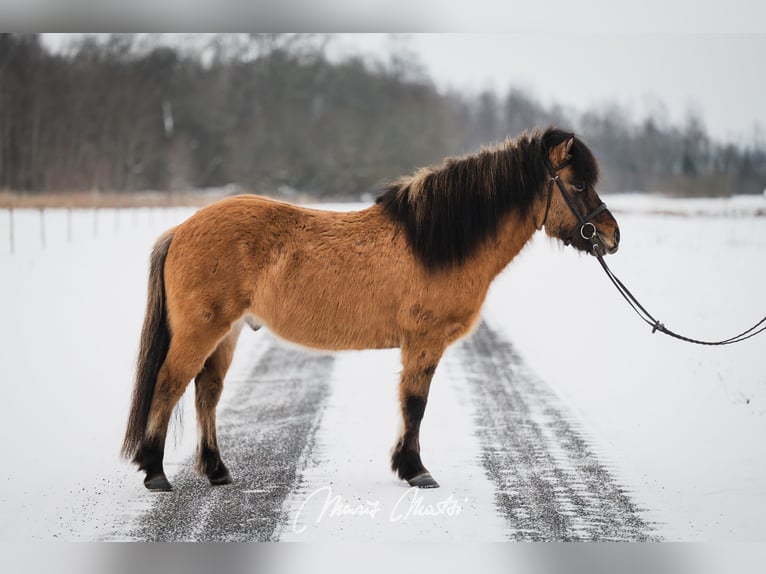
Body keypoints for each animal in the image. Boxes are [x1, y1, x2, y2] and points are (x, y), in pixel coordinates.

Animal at [121, 127, 620, 491]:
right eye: (578, 183)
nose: (611, 236)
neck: (435, 242)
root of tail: (182, 229)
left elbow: (411, 404)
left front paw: (407, 465)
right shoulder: (424, 341)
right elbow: (415, 403)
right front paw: (415, 469)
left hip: (227, 333)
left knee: (207, 392)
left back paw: (217, 470)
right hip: (200, 332)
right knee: (168, 385)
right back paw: (156, 472)